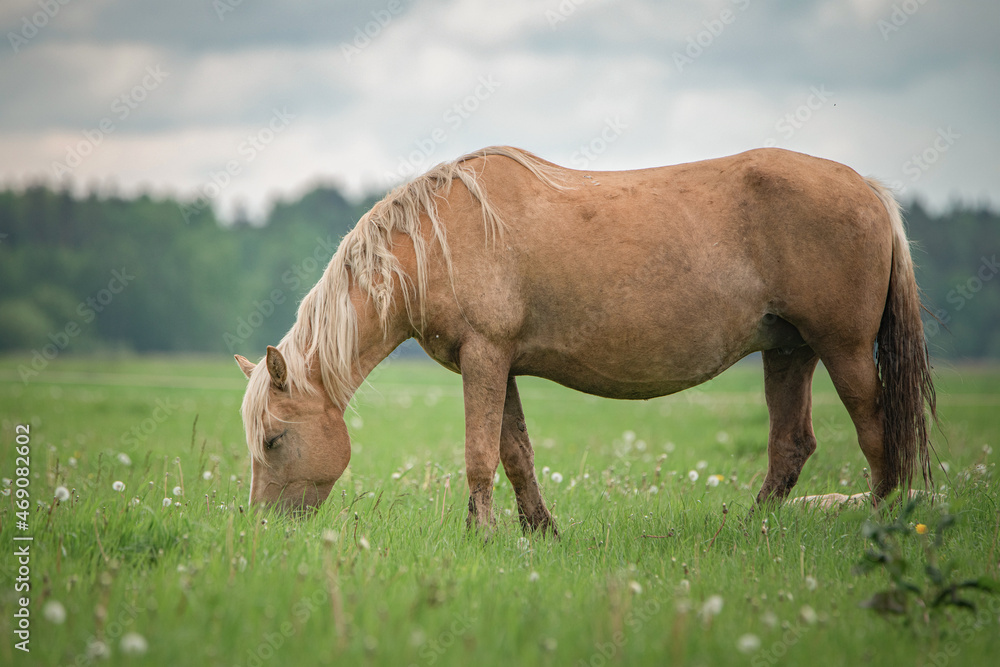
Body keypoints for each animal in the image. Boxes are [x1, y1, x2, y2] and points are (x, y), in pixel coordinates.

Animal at [234, 145, 936, 533]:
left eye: (273, 440)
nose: (265, 531)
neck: (436, 243)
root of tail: (867, 188)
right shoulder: (500, 364)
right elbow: (515, 452)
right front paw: (538, 531)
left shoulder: (484, 357)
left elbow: (479, 455)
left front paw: (480, 534)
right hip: (788, 351)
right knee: (791, 447)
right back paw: (747, 528)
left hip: (844, 350)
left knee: (879, 436)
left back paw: (873, 525)